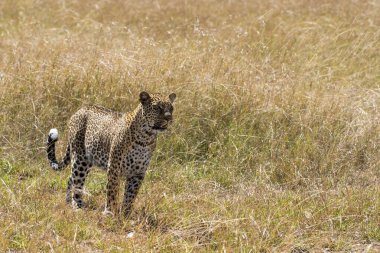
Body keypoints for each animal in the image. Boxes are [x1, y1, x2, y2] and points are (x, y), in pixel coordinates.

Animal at [46, 91, 176, 217]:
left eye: (171, 108)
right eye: (157, 107)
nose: (169, 118)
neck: (146, 137)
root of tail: (80, 109)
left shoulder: (138, 172)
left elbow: (130, 195)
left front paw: (126, 215)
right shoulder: (114, 168)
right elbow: (112, 192)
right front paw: (109, 213)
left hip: (88, 161)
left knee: (71, 178)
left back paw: (68, 202)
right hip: (80, 158)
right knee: (77, 183)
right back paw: (77, 206)